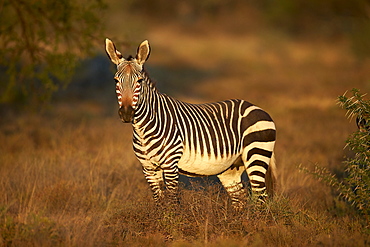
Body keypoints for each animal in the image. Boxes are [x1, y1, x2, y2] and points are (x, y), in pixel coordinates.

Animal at [105, 38, 276, 208]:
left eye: (139, 81)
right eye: (115, 80)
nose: (126, 114)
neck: (143, 129)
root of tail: (257, 108)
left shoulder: (170, 165)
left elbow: (172, 203)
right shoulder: (148, 168)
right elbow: (159, 203)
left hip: (256, 155)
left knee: (260, 198)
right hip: (231, 168)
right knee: (240, 199)